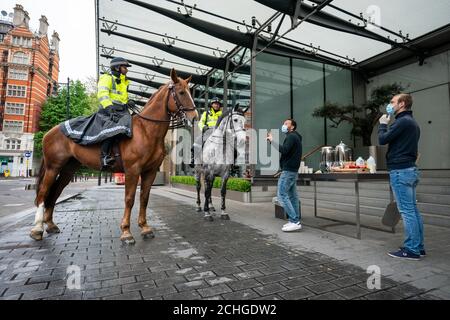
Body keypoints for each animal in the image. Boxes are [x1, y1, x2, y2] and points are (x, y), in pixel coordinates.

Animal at [29, 69, 196, 242]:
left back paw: (50, 225)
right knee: (43, 193)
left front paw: (144, 227)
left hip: (67, 170)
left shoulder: (149, 172)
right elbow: (129, 199)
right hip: (53, 167)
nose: (195, 117)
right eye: (181, 92)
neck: (146, 130)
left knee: (54, 194)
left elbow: (144, 198)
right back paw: (37, 229)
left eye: (190, 92)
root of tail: (50, 132)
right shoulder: (132, 170)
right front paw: (126, 232)